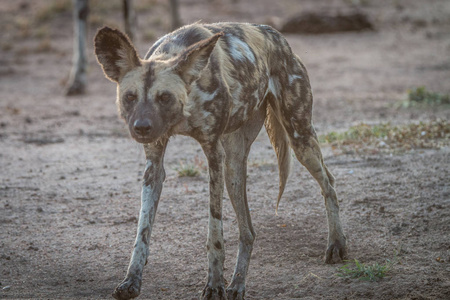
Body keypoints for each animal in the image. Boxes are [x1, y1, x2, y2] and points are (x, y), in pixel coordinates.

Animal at [95, 22, 348, 298]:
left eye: (164, 97)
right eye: (130, 97)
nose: (141, 127)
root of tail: (280, 38)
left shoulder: (213, 154)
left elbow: (214, 231)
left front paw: (214, 285)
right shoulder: (154, 165)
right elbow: (142, 231)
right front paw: (131, 280)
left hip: (299, 139)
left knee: (329, 183)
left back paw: (336, 244)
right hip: (234, 168)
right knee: (248, 231)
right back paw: (237, 285)